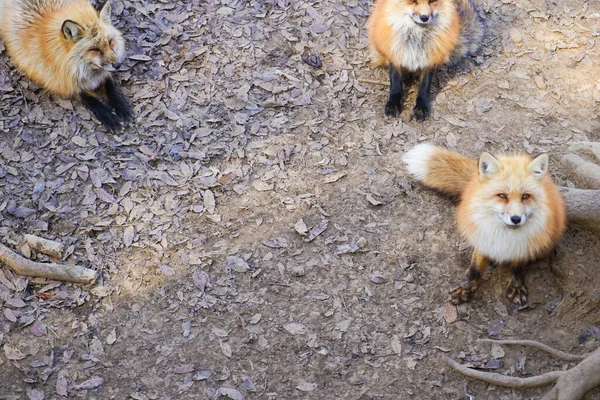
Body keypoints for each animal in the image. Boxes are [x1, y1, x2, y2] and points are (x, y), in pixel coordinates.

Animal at [0, 0, 132, 130]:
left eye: (110, 42)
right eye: (95, 49)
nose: (118, 65)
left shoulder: (102, 74)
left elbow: (111, 88)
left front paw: (122, 108)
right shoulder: (64, 83)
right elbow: (92, 101)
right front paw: (109, 117)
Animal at [404, 145, 568, 304]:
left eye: (526, 196)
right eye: (502, 196)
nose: (516, 218)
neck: (505, 236)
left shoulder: (524, 247)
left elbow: (518, 268)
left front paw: (517, 287)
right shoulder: (483, 239)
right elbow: (475, 268)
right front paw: (466, 287)